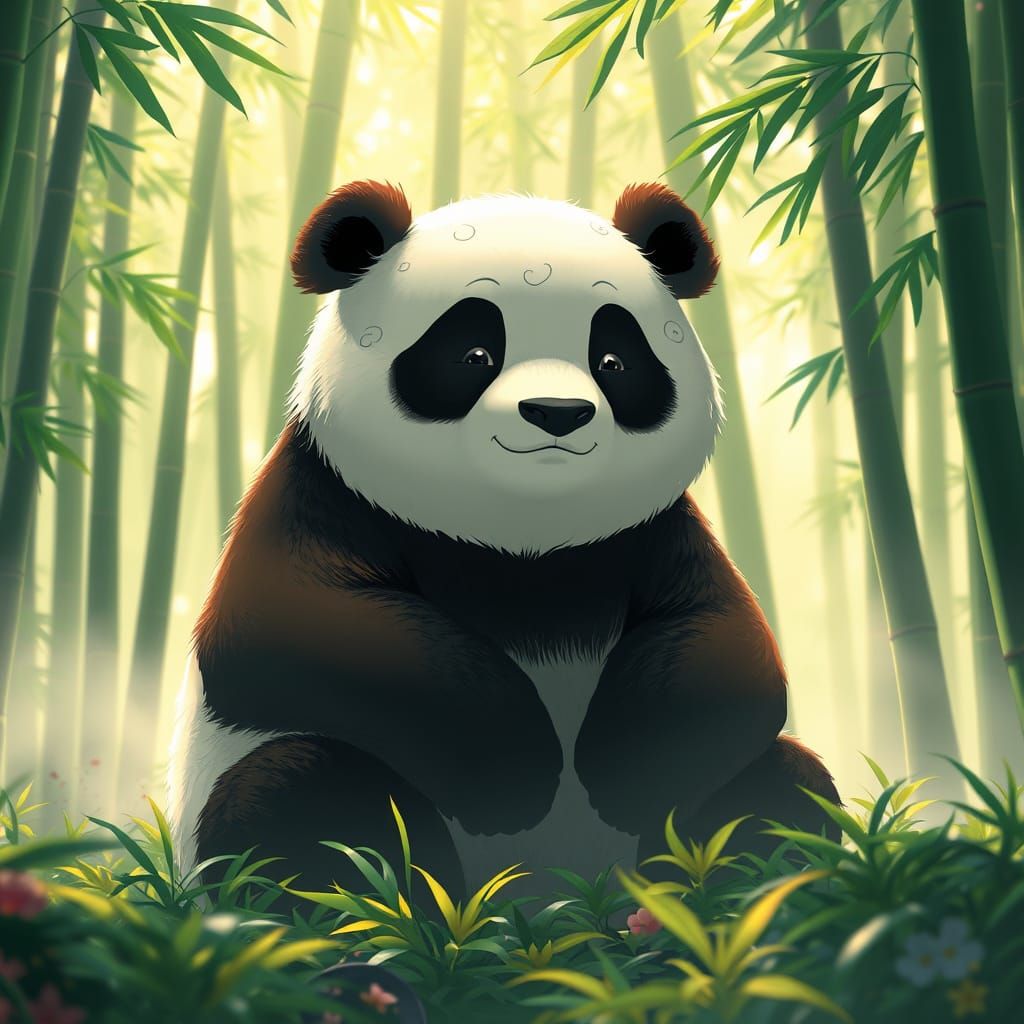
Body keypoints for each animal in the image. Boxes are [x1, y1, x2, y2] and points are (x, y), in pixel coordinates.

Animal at [166, 180, 838, 904]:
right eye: (474, 354)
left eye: (614, 360)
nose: (557, 413)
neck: (521, 542)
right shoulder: (322, 493)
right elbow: (284, 626)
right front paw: (510, 775)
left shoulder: (651, 532)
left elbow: (727, 641)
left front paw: (624, 773)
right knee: (298, 794)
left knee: (780, 793)